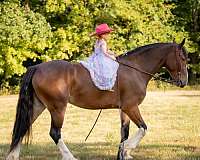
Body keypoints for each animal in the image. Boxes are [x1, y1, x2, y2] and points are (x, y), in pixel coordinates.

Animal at [6, 39, 188, 160]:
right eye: (183, 58)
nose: (184, 82)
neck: (135, 69)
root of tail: (37, 67)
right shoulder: (131, 107)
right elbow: (143, 128)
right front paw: (127, 150)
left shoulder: (125, 109)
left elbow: (125, 133)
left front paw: (123, 154)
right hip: (57, 108)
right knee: (54, 133)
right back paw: (70, 157)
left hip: (38, 106)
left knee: (22, 128)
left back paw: (13, 156)